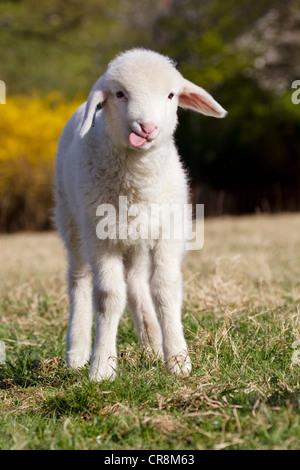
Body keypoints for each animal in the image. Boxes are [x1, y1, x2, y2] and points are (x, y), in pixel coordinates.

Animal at [54, 47, 227, 380]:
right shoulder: (101, 237)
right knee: (79, 279)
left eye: (171, 95)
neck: (137, 184)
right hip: (72, 220)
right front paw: (102, 367)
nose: (146, 128)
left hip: (137, 237)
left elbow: (165, 289)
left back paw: (153, 342)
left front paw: (178, 359)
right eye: (120, 94)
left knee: (135, 282)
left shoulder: (169, 231)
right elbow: (108, 297)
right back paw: (77, 352)